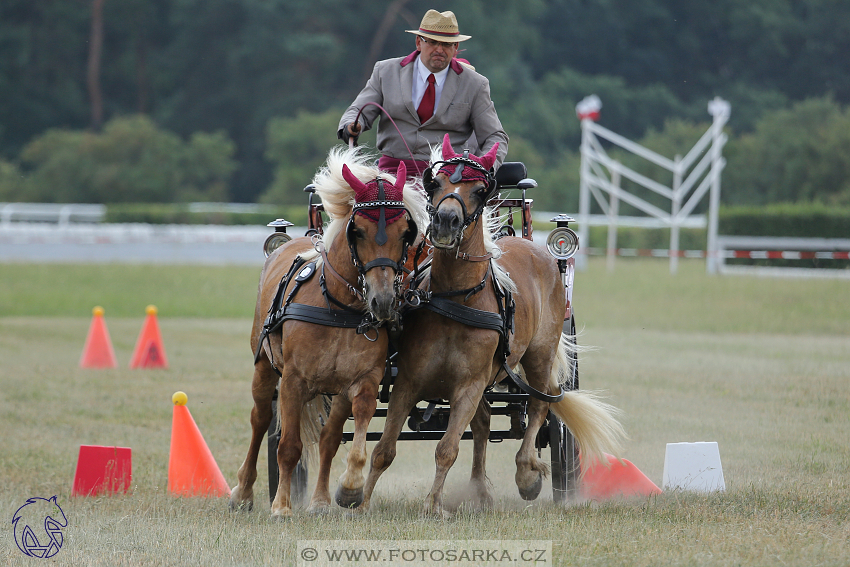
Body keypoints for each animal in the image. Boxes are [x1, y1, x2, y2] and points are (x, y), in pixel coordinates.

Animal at [229, 148, 428, 520]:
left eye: (405, 233)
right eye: (358, 230)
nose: (382, 302)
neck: (339, 307)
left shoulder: (362, 381)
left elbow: (347, 437)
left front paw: (347, 490)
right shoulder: (293, 380)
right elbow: (288, 445)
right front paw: (281, 506)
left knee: (327, 439)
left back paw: (319, 500)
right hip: (265, 367)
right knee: (260, 420)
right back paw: (243, 493)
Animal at [362, 135, 628, 516]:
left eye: (478, 190)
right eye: (435, 183)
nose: (445, 222)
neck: (456, 299)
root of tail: (540, 250)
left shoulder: (469, 385)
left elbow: (446, 449)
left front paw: (433, 504)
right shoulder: (409, 382)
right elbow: (384, 448)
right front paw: (357, 498)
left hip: (538, 355)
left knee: (540, 404)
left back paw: (527, 475)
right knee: (485, 421)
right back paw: (480, 491)